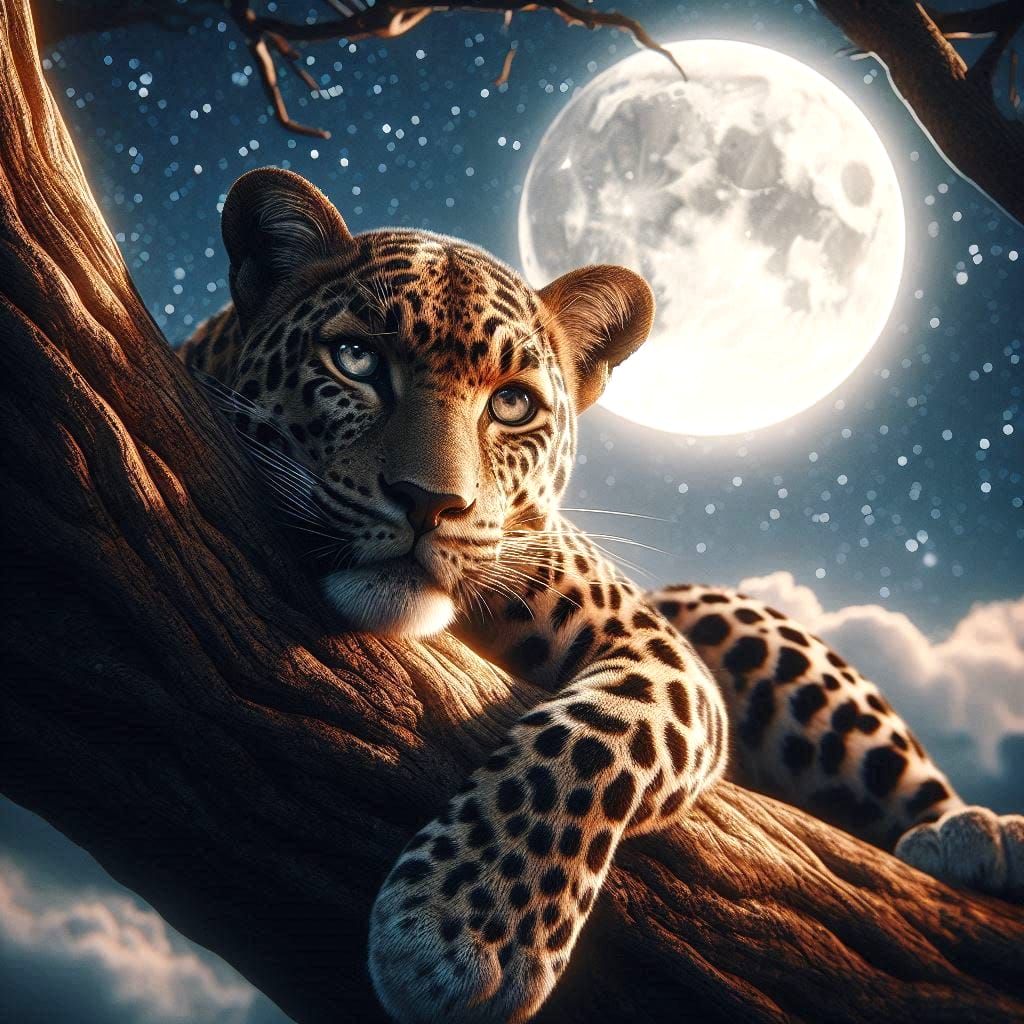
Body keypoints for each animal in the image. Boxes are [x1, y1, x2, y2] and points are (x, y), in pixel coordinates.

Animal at [182, 167, 1024, 1024]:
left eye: (512, 404)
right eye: (355, 359)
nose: (430, 503)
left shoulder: (657, 650)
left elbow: (594, 736)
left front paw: (464, 932)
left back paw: (978, 838)